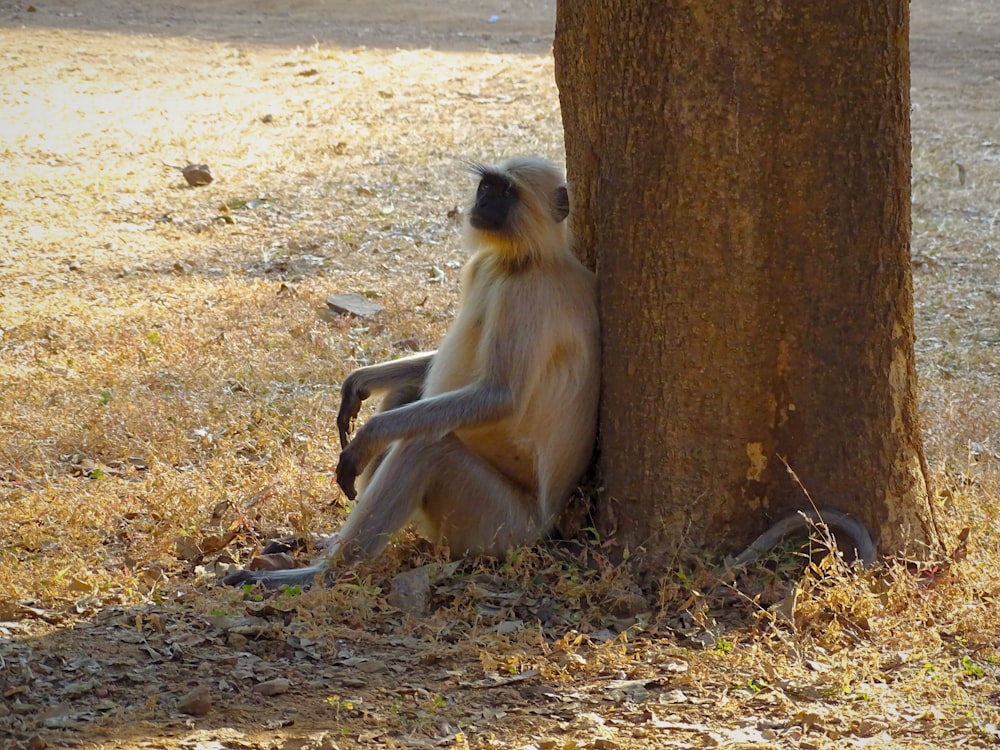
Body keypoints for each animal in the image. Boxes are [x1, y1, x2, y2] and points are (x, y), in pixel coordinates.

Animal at [225, 159, 600, 592]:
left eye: (505, 192)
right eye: (486, 187)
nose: (482, 203)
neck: (525, 260)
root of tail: (545, 531)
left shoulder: (526, 297)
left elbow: (499, 396)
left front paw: (367, 437)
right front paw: (359, 382)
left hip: (500, 528)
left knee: (424, 448)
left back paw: (319, 574)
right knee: (408, 397)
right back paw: (324, 545)